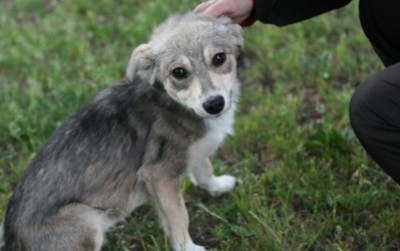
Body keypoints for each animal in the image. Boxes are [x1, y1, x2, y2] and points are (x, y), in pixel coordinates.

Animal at [0, 12, 244, 251]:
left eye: (219, 58)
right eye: (179, 72)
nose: (214, 104)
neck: (175, 103)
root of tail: (11, 240)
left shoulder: (191, 153)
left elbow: (204, 170)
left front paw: (217, 186)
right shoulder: (159, 174)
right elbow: (179, 217)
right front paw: (188, 248)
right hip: (86, 220)